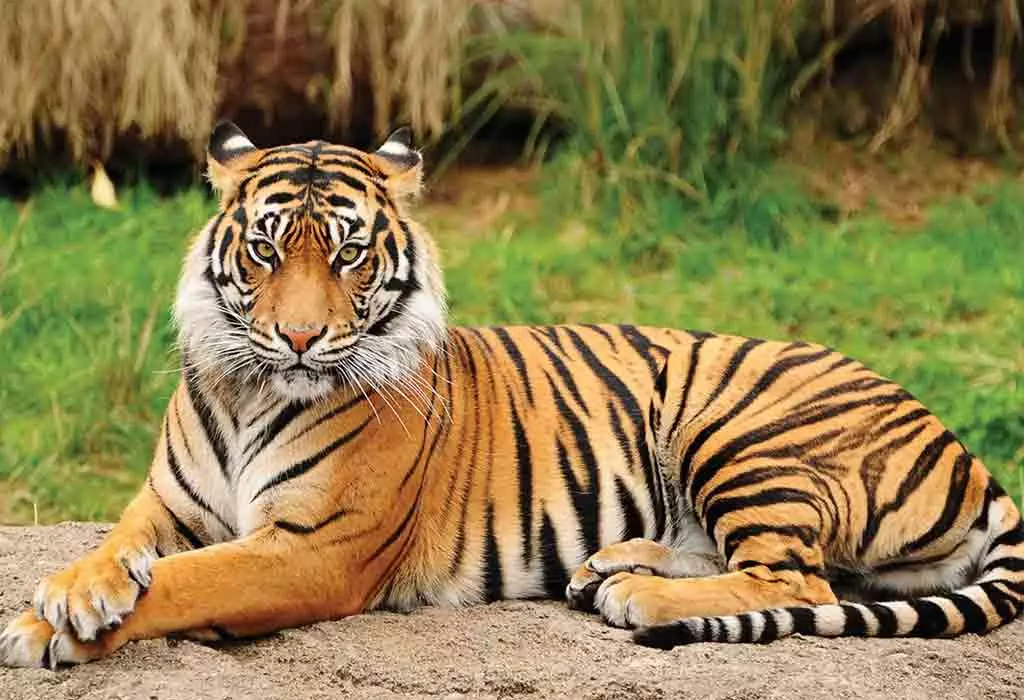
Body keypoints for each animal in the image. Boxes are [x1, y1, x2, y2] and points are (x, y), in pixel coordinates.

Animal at [1, 122, 1021, 668]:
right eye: (264, 249)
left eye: (348, 254)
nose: (297, 338)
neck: (253, 390)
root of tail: (967, 453)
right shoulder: (168, 505)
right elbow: (119, 547)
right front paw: (68, 592)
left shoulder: (311, 550)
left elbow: (185, 581)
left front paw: (48, 629)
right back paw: (613, 565)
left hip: (738, 428)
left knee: (797, 576)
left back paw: (636, 598)